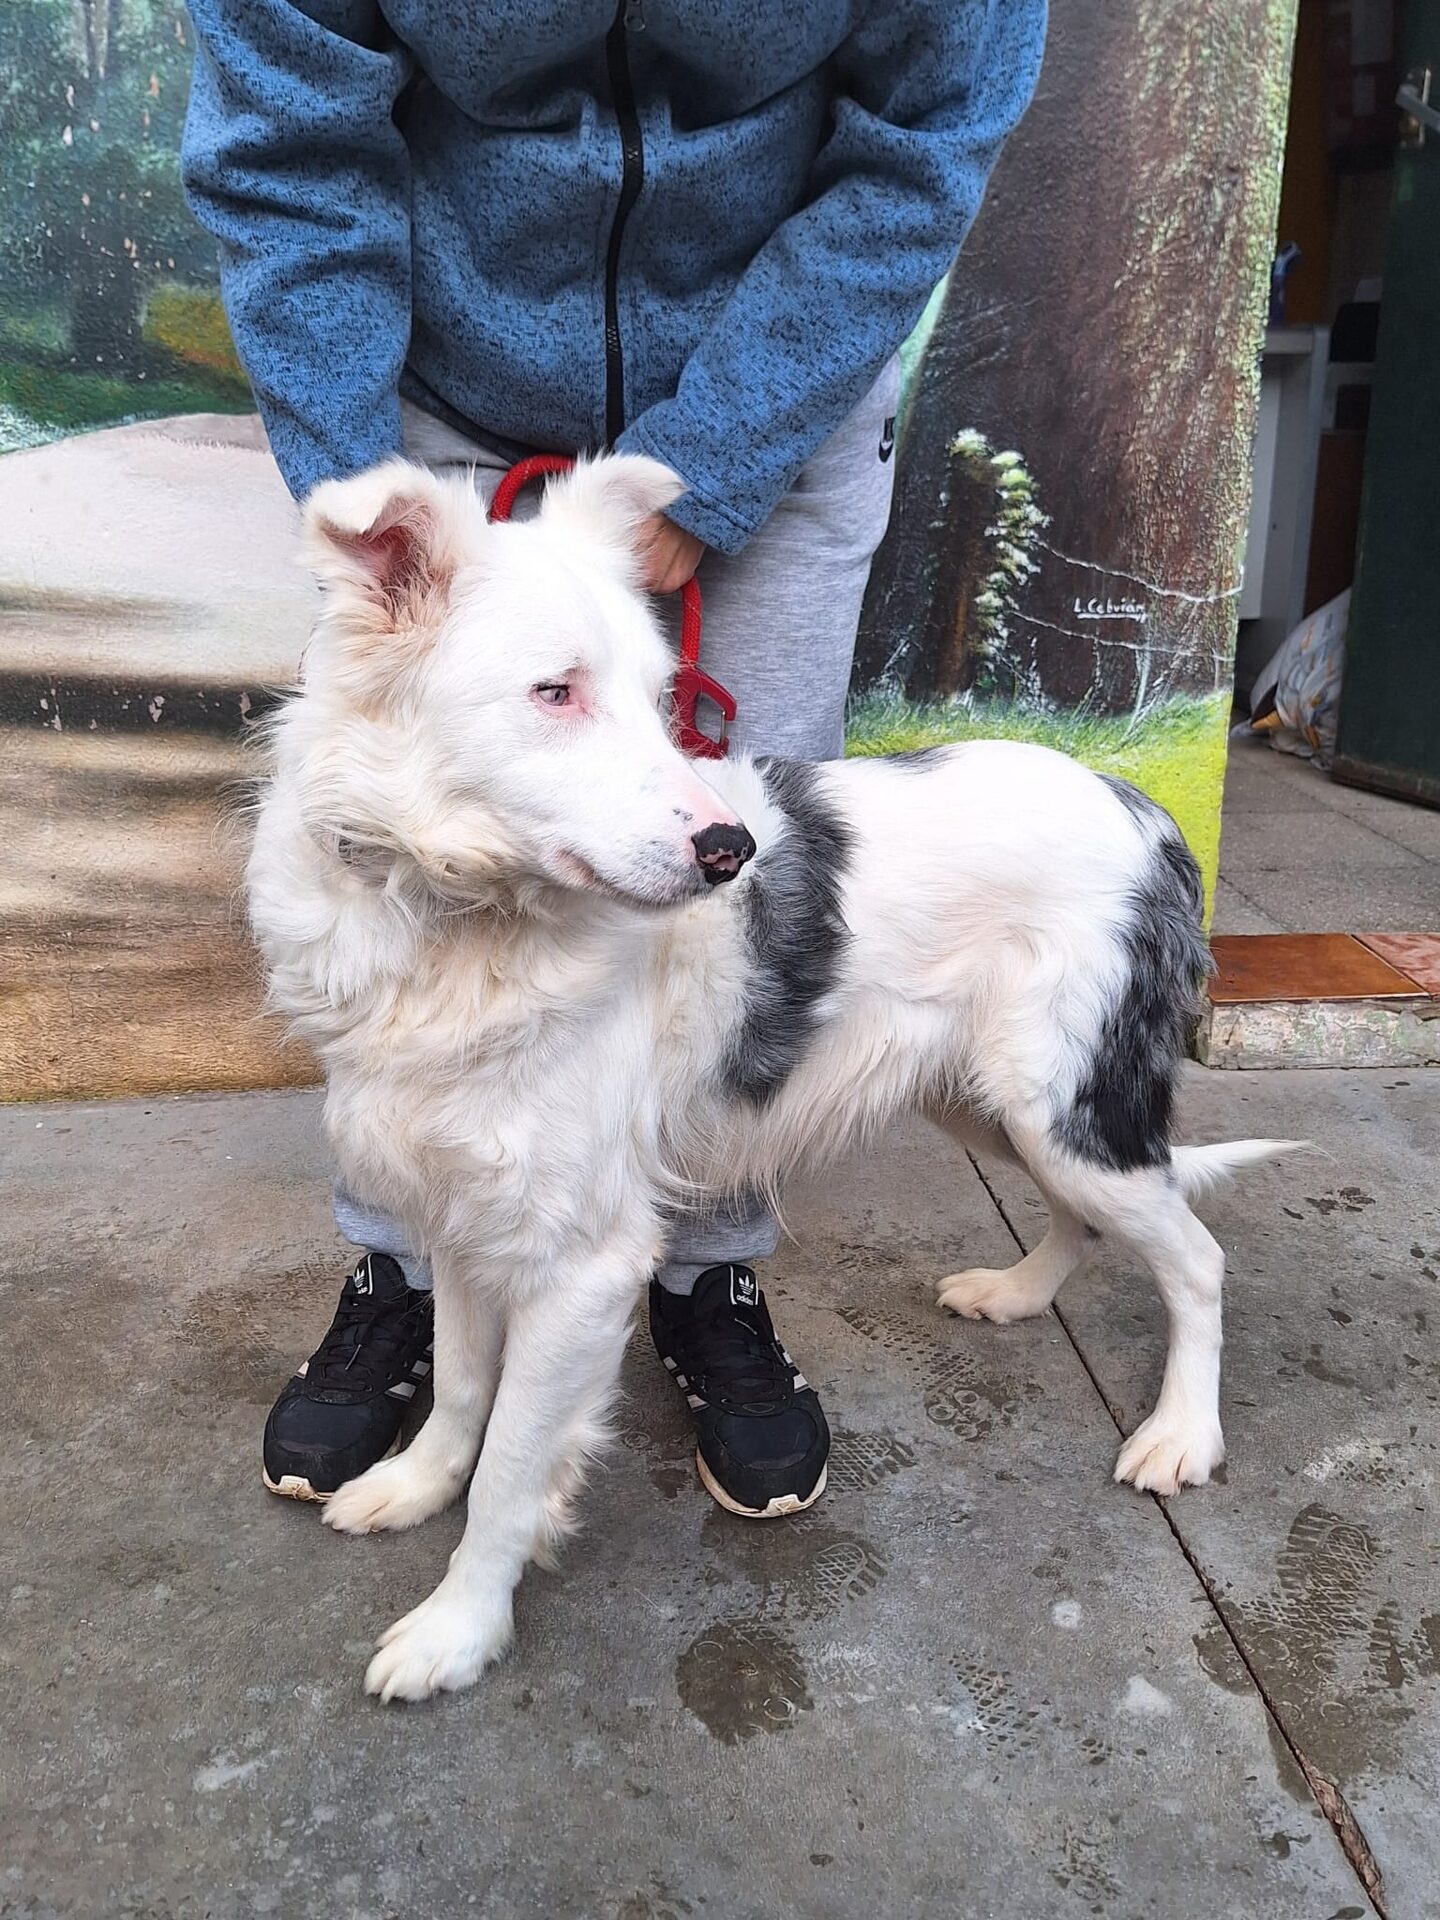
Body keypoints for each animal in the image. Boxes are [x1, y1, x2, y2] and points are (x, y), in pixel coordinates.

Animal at [248, 453, 1294, 1702]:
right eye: (556, 692)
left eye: (661, 699)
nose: (731, 854)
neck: (451, 919)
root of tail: (1144, 809)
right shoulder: (456, 1207)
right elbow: (458, 1387)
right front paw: (413, 1486)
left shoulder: (582, 1261)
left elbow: (510, 1469)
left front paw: (459, 1625)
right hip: (990, 1105)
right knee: (1085, 1220)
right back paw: (1019, 1292)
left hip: (1067, 1109)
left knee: (1197, 1256)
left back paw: (1182, 1434)